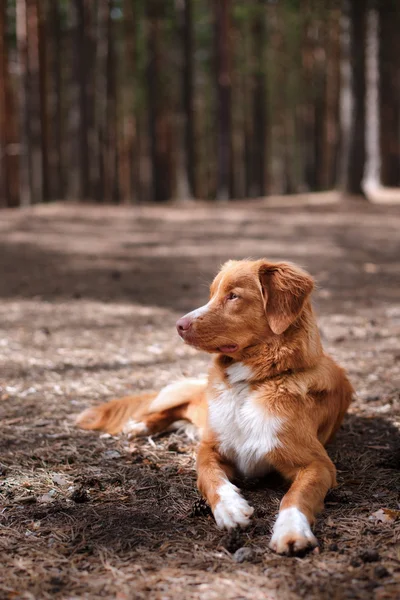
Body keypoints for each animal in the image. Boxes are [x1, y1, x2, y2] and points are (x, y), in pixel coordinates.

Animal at [76, 260, 352, 556]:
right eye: (211, 294)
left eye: (233, 296)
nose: (179, 325)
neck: (252, 382)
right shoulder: (209, 447)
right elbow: (211, 477)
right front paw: (230, 508)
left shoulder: (318, 464)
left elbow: (295, 495)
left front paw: (291, 530)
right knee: (175, 407)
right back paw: (140, 425)